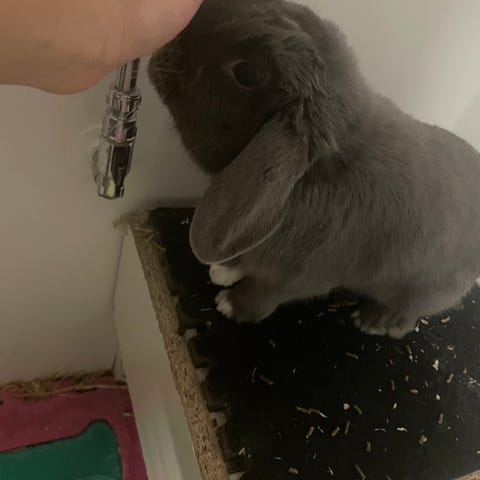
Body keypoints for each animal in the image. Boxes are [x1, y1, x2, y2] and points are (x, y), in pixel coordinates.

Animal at [148, 0, 480, 339]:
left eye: (245, 73)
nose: (173, 37)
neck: (314, 175)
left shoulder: (295, 277)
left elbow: (263, 294)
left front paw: (230, 304)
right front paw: (223, 271)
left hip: (421, 292)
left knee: (406, 318)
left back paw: (373, 321)